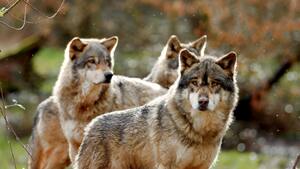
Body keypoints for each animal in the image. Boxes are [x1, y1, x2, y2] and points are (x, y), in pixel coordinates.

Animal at [75, 47, 239, 169]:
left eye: (214, 83)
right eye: (194, 82)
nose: (203, 102)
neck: (199, 131)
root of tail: (91, 126)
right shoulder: (167, 165)